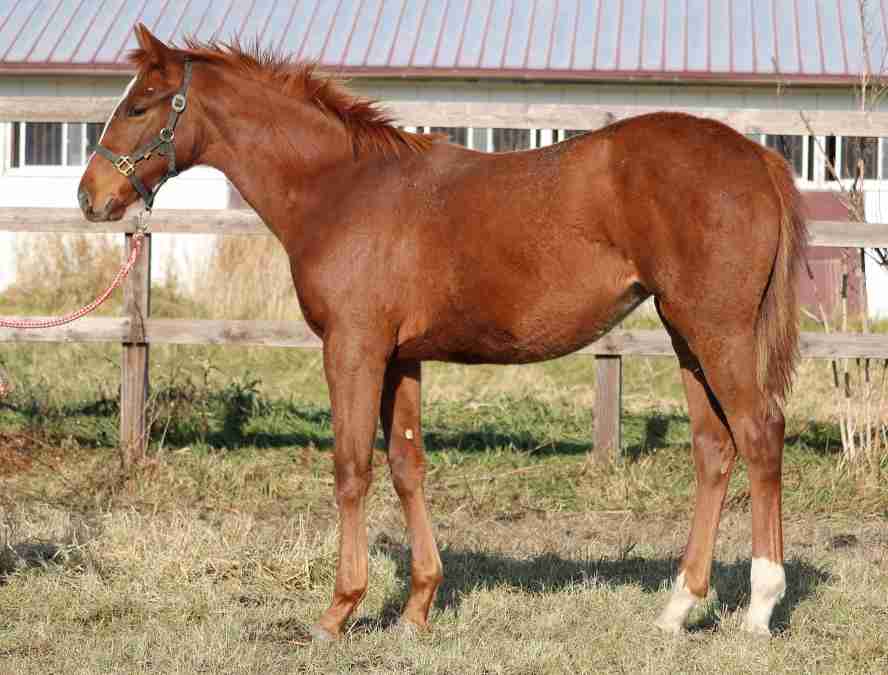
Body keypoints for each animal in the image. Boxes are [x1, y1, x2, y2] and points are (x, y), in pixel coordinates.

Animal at [79, 24, 806, 640]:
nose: (90, 197)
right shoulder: (401, 358)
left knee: (760, 434)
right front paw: (417, 607)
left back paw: (760, 607)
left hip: (718, 332)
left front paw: (339, 612)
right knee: (714, 449)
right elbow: (407, 467)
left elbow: (351, 468)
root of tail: (757, 157)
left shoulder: (353, 349)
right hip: (687, 336)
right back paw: (678, 607)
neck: (340, 188)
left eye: (140, 105)